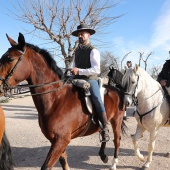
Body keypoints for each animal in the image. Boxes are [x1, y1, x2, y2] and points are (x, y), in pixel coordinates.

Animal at [0, 32, 125, 170]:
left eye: (10, 59)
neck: (56, 99)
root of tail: (116, 89)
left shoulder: (61, 141)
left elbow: (46, 166)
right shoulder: (56, 141)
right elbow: (63, 162)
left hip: (117, 121)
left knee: (117, 140)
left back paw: (113, 164)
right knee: (104, 133)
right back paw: (103, 155)